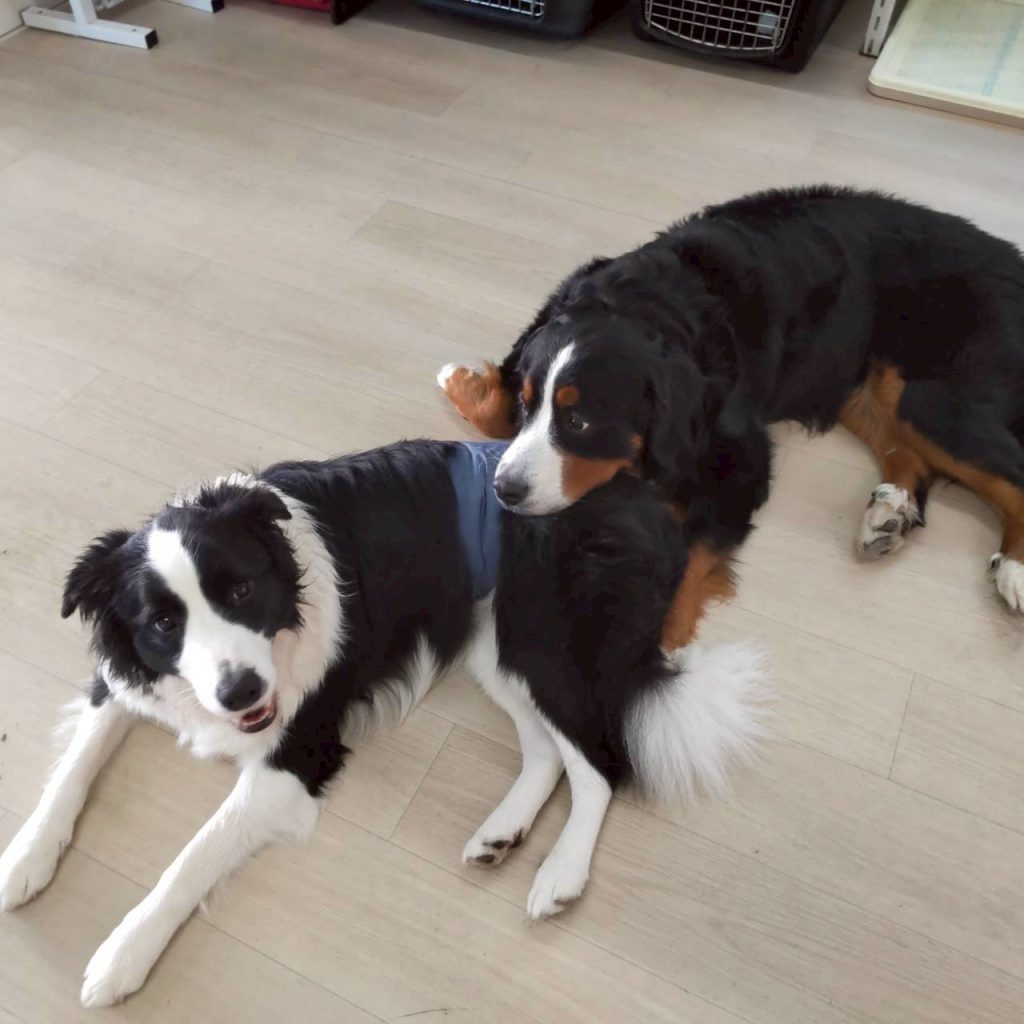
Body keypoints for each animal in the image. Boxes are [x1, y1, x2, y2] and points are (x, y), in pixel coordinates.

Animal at [0, 440, 769, 1007]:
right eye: (164, 624)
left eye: (241, 590)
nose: (241, 691)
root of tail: (638, 499)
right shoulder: (125, 681)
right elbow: (71, 771)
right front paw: (24, 858)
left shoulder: (297, 755)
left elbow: (193, 855)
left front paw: (123, 952)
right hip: (493, 646)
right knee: (548, 753)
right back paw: (502, 834)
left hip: (536, 637)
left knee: (600, 763)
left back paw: (560, 875)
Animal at [438, 185, 1024, 643]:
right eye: (528, 403)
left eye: (580, 423)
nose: (505, 490)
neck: (648, 306)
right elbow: (499, 411)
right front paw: (467, 384)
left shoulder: (742, 459)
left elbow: (696, 547)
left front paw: (660, 640)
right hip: (862, 383)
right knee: (908, 451)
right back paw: (890, 513)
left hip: (934, 398)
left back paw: (1014, 566)